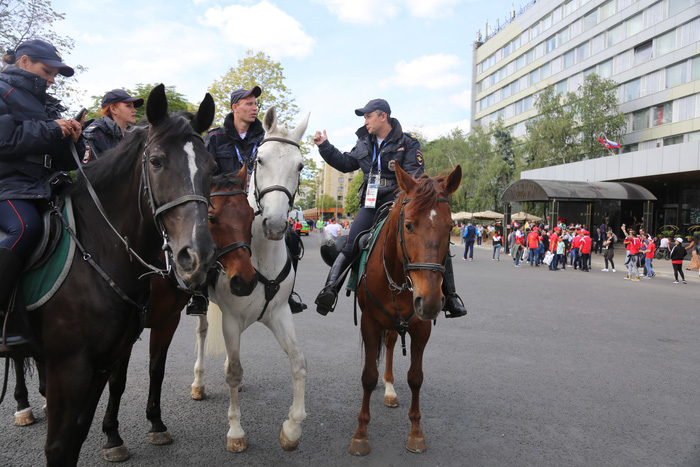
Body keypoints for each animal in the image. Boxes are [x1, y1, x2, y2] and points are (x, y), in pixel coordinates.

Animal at [194, 107, 308, 454]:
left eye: (300, 166)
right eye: (261, 160)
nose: (275, 223)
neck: (260, 257)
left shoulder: (280, 314)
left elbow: (298, 362)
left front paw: (292, 428)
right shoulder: (231, 319)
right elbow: (233, 371)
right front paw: (235, 431)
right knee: (203, 332)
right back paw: (198, 382)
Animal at [348, 164, 460, 458]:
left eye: (451, 227)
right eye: (408, 225)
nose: (430, 301)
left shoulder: (421, 328)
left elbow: (416, 378)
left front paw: (416, 433)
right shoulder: (370, 323)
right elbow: (368, 377)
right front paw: (361, 434)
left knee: (389, 344)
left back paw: (389, 389)